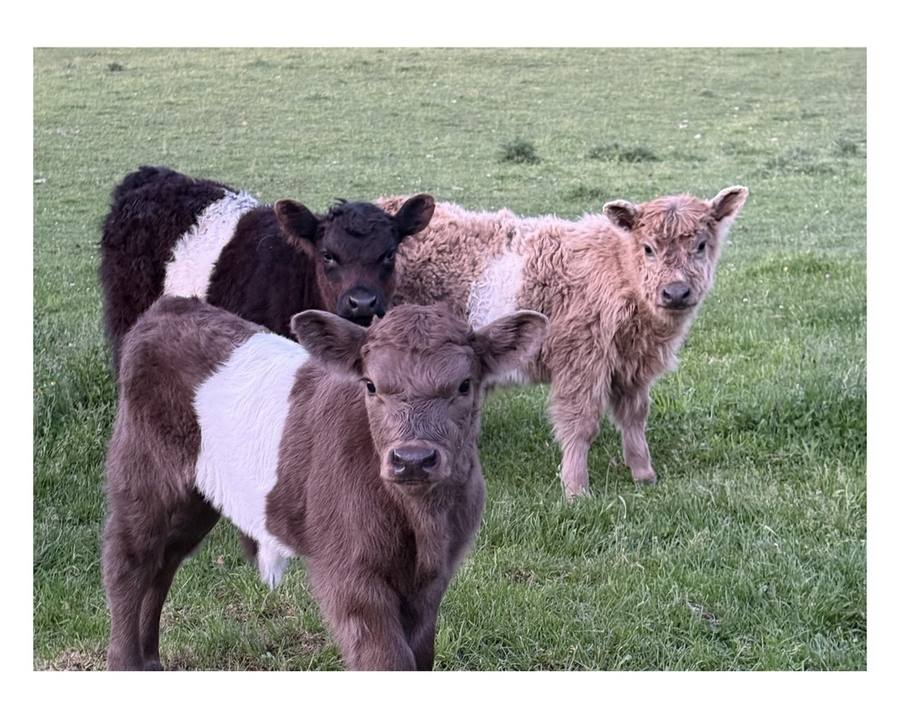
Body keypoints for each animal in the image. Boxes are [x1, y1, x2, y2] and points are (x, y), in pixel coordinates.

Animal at [101, 296, 548, 670]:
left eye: (464, 385)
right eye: (370, 385)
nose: (412, 460)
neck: (421, 520)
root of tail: (171, 305)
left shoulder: (434, 579)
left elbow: (421, 656)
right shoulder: (349, 574)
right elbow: (389, 660)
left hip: (195, 498)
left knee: (165, 562)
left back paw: (152, 660)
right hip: (143, 473)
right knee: (129, 561)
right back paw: (127, 663)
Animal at [378, 187, 749, 498]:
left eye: (700, 246)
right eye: (648, 248)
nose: (676, 292)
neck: (618, 271)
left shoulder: (632, 365)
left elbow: (634, 417)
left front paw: (644, 473)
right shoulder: (581, 360)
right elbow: (580, 424)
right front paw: (576, 489)